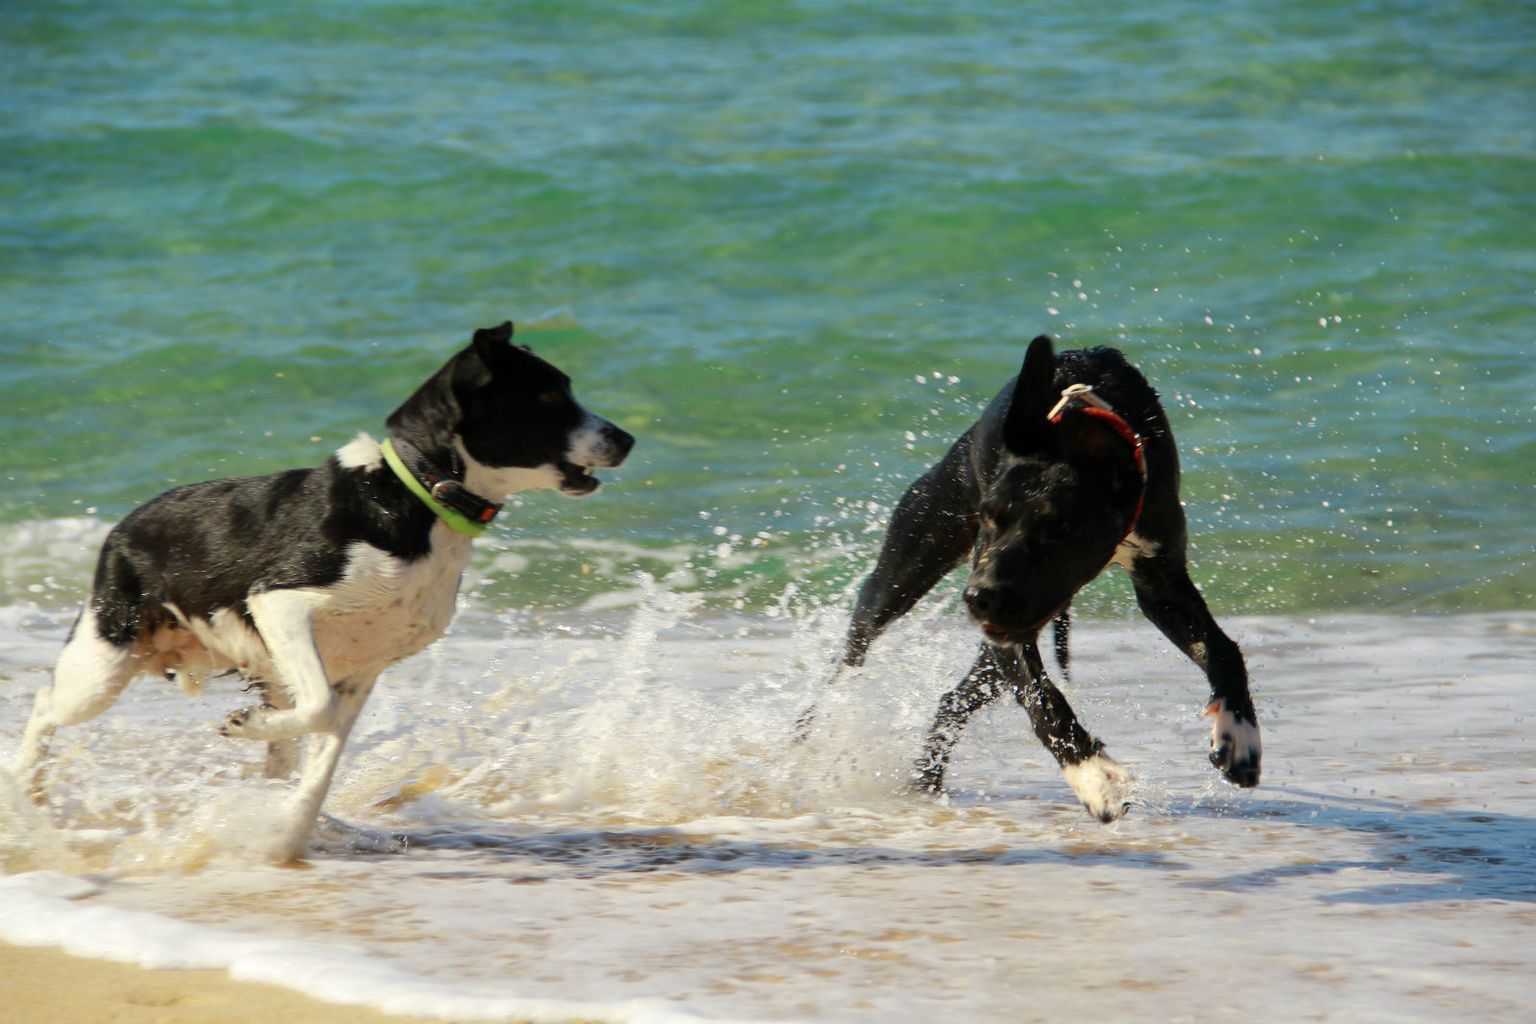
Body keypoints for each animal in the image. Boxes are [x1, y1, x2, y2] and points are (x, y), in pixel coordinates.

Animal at [10, 321, 634, 859]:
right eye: (548, 398)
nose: (626, 439)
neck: (419, 495)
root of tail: (122, 527)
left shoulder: (361, 671)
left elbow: (320, 762)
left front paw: (285, 838)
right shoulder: (281, 602)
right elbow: (318, 707)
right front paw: (245, 730)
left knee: (280, 759)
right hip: (105, 662)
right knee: (44, 701)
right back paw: (24, 789)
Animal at [821, 334, 1259, 821]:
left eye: (1060, 528)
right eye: (988, 516)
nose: (978, 597)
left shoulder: (1160, 582)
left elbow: (1222, 651)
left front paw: (1238, 735)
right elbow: (1043, 701)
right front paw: (1093, 777)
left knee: (954, 698)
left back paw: (926, 780)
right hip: (906, 566)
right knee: (850, 654)